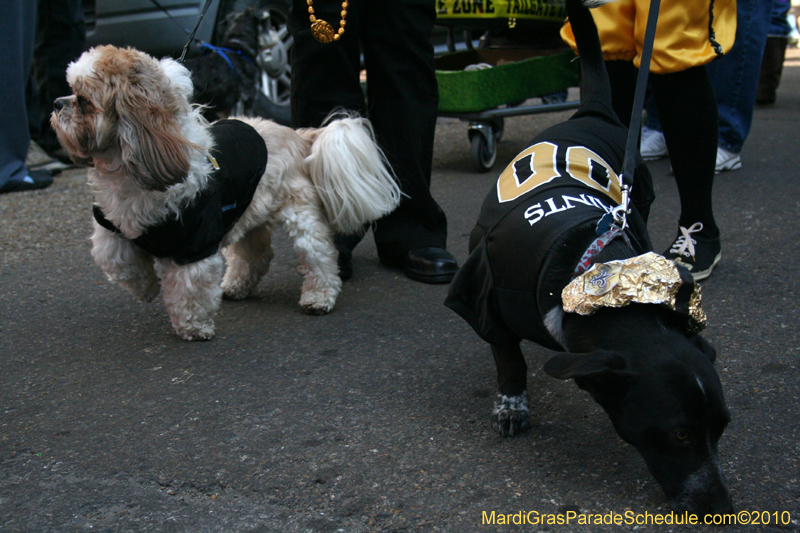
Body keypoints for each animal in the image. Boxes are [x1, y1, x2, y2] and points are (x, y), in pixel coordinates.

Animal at [446, 0, 736, 516]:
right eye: (680, 434)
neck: (584, 269)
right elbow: (509, 359)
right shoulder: (485, 297)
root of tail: (592, 110)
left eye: (721, 428)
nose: (723, 505)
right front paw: (512, 405)